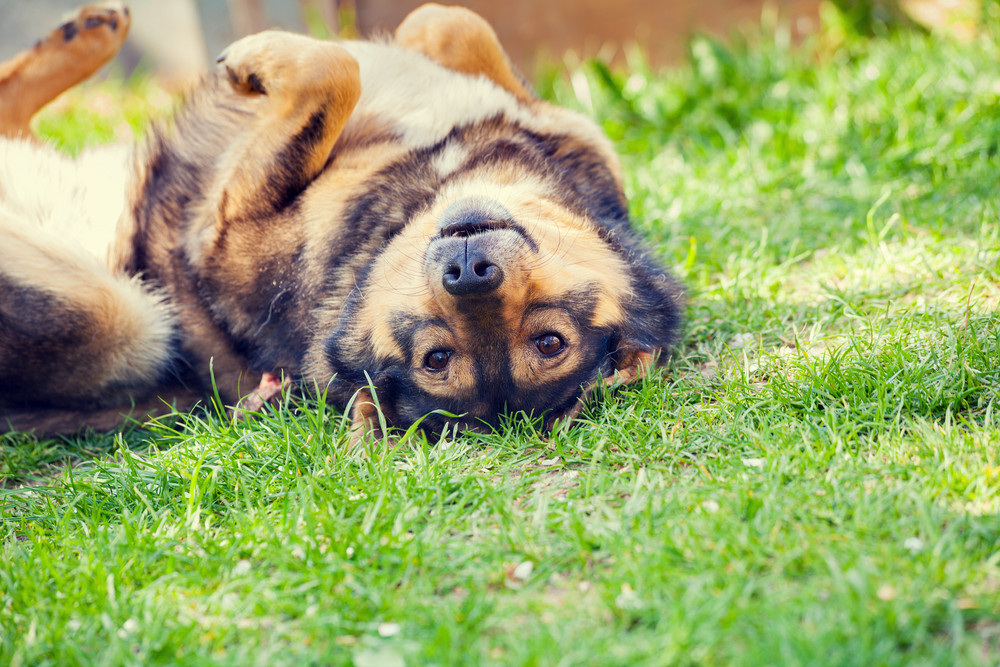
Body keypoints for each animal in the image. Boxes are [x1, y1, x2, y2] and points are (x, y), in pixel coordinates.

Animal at [0, 2, 684, 440]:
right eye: (437, 358)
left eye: (548, 342)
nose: (471, 272)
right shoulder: (570, 132)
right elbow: (446, 26)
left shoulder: (220, 231)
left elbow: (336, 72)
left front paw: (255, 62)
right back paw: (86, 32)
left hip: (125, 319)